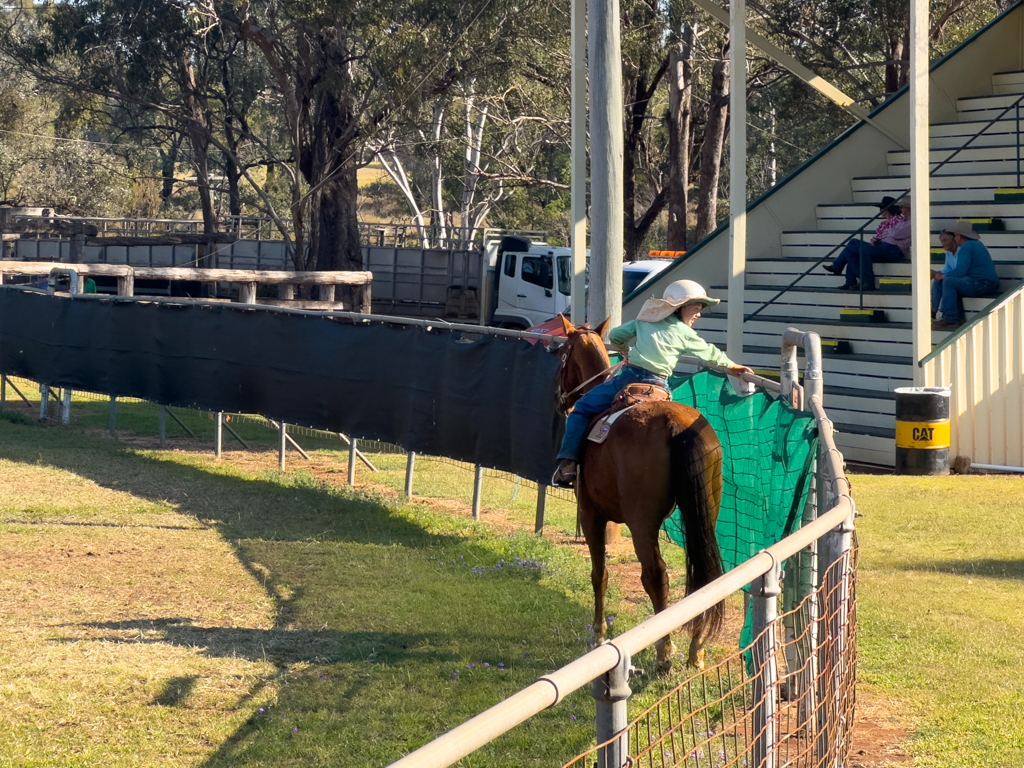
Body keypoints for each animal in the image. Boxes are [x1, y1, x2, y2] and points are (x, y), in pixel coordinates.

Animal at [557, 313, 724, 671]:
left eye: (561, 354)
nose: (560, 399)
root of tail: (677, 426)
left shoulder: (589, 512)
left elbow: (599, 573)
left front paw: (598, 634)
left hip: (641, 521)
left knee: (655, 575)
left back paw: (664, 653)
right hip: (706, 509)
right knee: (703, 577)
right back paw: (696, 649)